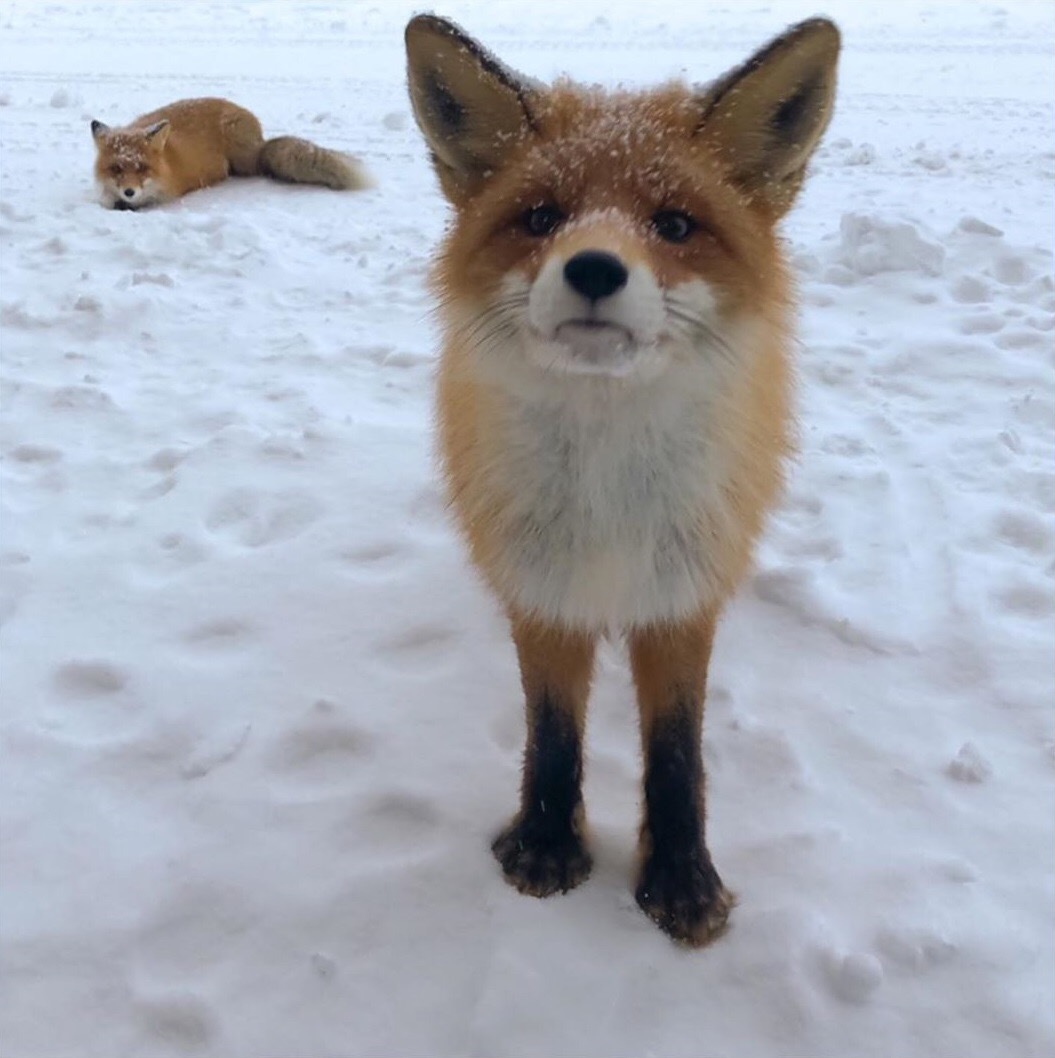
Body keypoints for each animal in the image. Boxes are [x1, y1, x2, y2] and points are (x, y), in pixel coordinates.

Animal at [89, 99, 370, 212]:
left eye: (142, 168)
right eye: (116, 169)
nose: (129, 192)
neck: (168, 161)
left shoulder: (169, 194)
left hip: (243, 160)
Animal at [406, 14, 838, 943]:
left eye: (673, 224)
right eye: (541, 217)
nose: (595, 269)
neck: (607, 505)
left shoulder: (681, 592)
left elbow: (677, 750)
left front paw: (680, 879)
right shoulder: (542, 587)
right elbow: (551, 732)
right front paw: (544, 844)